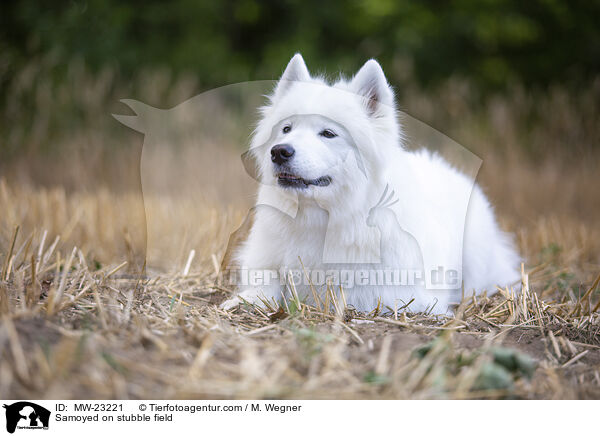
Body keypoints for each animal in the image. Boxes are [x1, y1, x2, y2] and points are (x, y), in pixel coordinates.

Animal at [220, 53, 520, 314]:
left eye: (328, 133)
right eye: (286, 129)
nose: (280, 151)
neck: (325, 218)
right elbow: (268, 284)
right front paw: (241, 301)